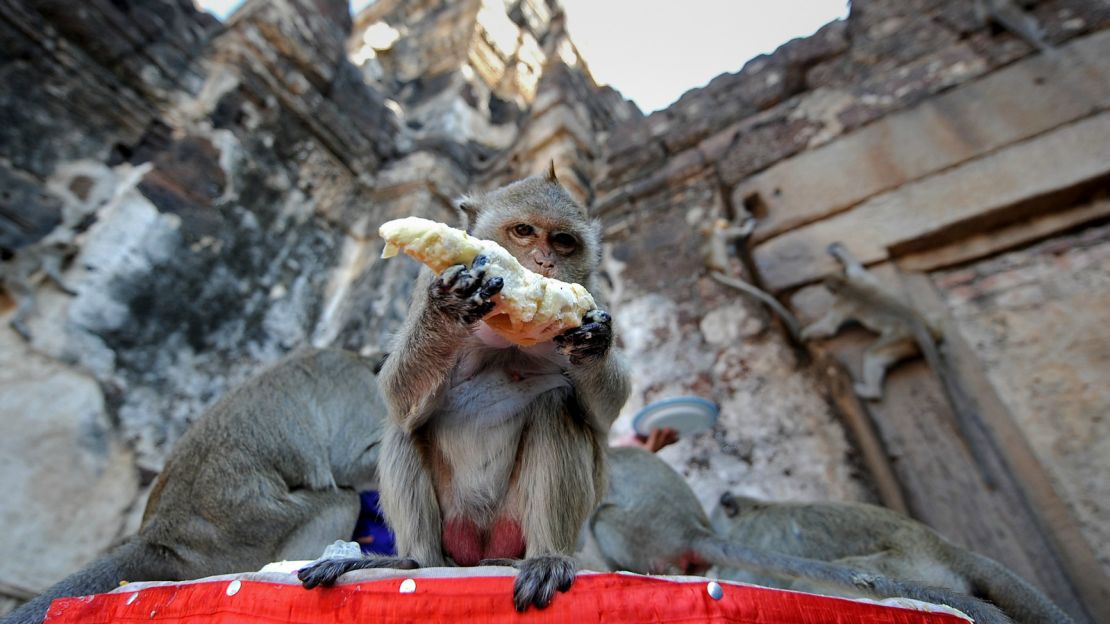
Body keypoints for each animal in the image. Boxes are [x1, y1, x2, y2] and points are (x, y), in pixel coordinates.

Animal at [297, 167, 634, 608]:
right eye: (524, 231)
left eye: (563, 241)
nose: (544, 261)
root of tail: (477, 551)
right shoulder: (428, 278)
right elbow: (397, 393)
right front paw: (449, 306)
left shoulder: (597, 291)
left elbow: (605, 412)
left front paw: (593, 339)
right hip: (452, 527)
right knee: (404, 428)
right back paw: (411, 562)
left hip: (512, 525)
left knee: (558, 408)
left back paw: (546, 557)